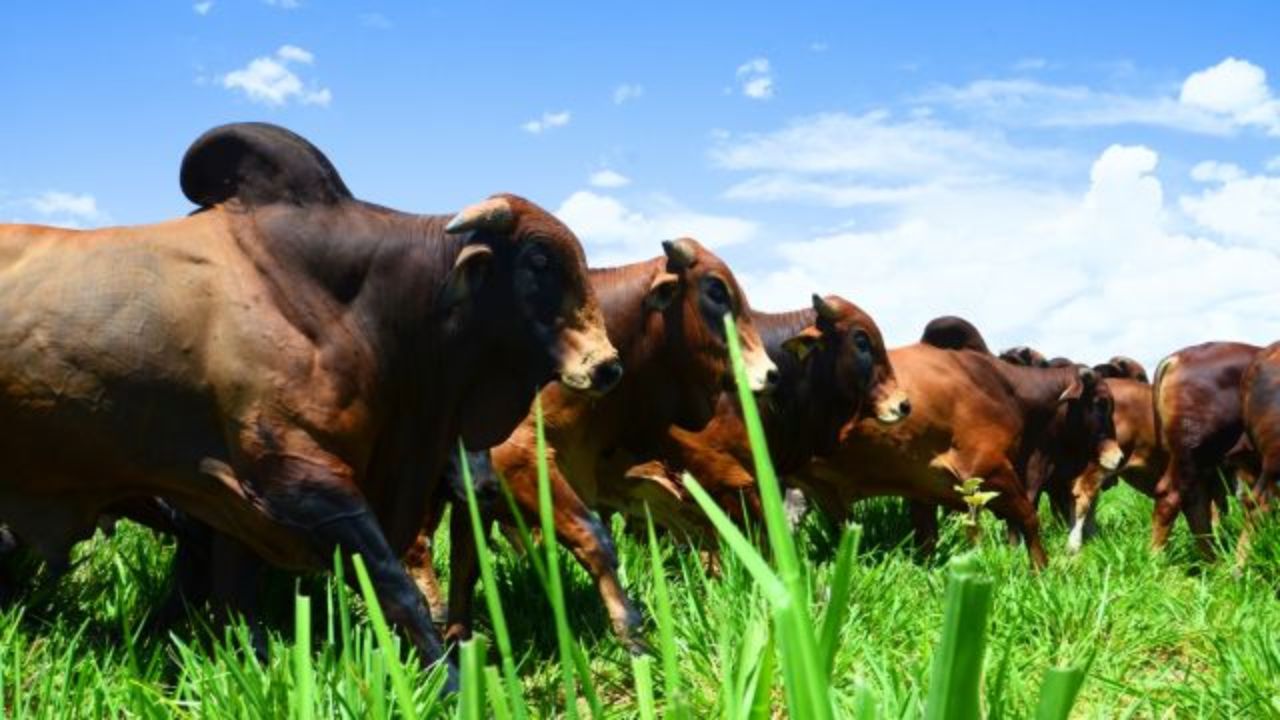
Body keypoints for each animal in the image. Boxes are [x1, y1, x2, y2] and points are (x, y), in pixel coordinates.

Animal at [0, 120, 616, 681]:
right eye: (538, 261)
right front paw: (447, 681)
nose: (606, 364)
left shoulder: (230, 502)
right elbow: (393, 586)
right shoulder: (298, 479)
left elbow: (232, 601)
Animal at [409, 238, 773, 648]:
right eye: (716, 290)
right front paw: (632, 634)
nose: (770, 372)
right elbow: (594, 538)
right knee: (417, 547)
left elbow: (467, 564)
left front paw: (460, 640)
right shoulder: (516, 460)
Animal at [793, 340, 1116, 566]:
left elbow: (927, 538)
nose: (1117, 455)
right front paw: (1041, 569)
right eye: (1101, 402)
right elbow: (1028, 518)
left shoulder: (923, 487)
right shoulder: (990, 469)